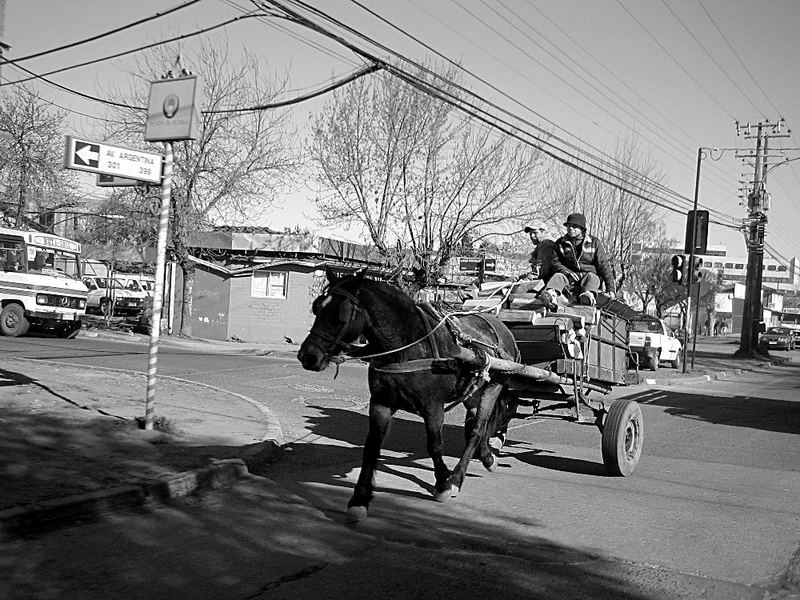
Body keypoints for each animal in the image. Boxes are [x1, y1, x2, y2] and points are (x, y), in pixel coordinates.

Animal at [298, 268, 520, 520]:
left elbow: (434, 445)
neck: (408, 347)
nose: (308, 356)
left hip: (493, 387)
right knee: (477, 426)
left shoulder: (433, 406)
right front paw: (360, 499)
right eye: (317, 307)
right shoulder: (381, 403)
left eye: (341, 313)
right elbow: (371, 446)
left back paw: (457, 478)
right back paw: (486, 456)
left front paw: (443, 484)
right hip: (473, 391)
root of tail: (498, 324)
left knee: (477, 429)